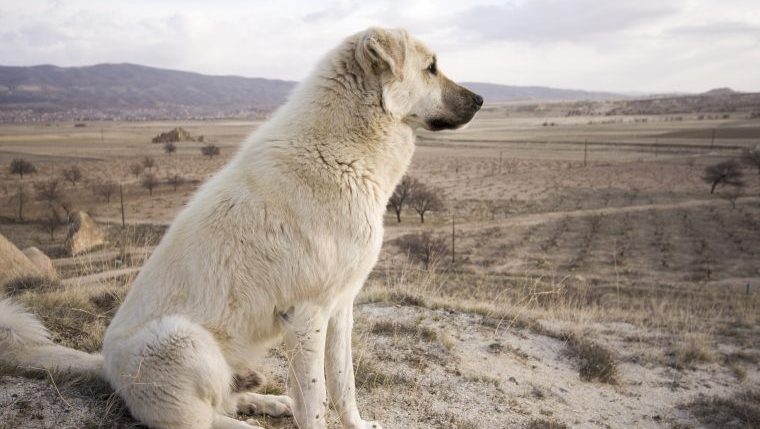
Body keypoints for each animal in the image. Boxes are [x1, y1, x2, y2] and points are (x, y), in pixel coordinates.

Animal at [0, 27, 484, 428]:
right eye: (431, 67)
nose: (481, 100)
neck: (343, 151)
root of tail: (104, 364)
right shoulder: (306, 315)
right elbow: (315, 401)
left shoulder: (340, 307)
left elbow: (344, 387)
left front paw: (356, 424)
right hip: (183, 340)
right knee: (206, 420)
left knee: (227, 401)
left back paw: (267, 401)